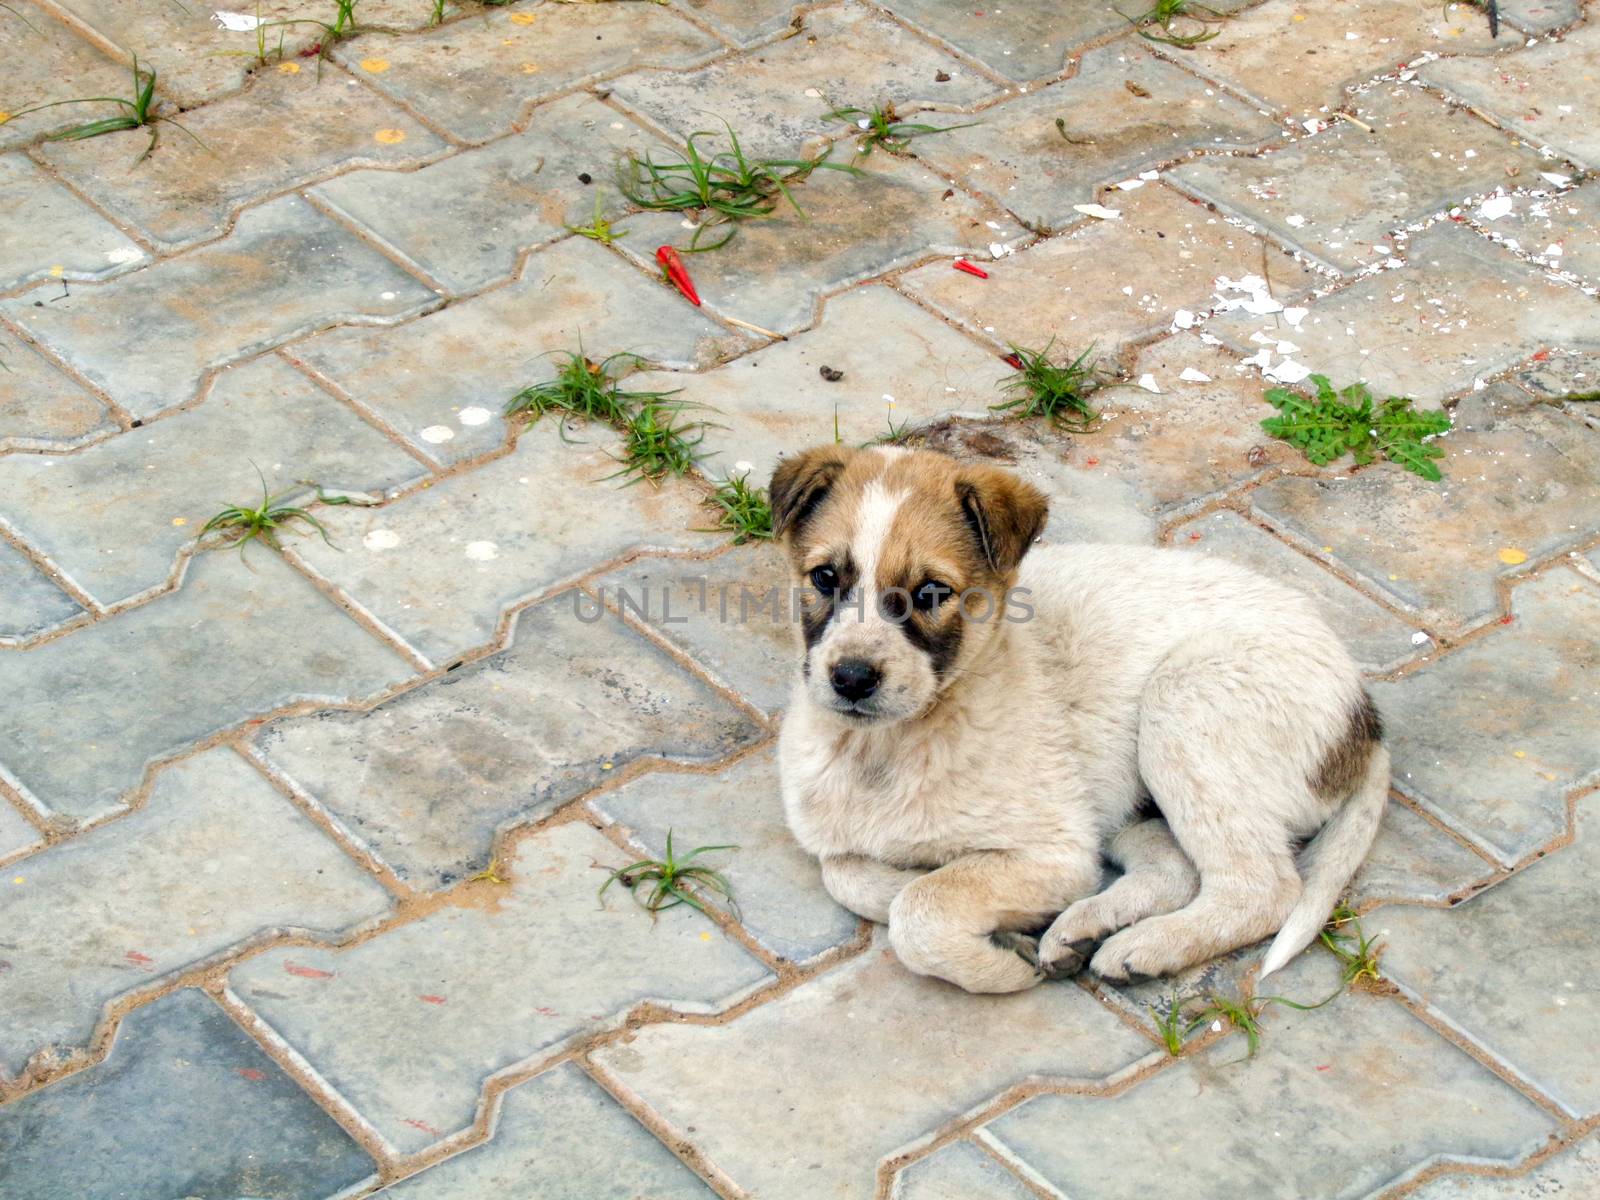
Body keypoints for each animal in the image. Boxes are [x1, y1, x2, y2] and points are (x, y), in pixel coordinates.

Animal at [771, 444, 1388, 998]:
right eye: (824, 578)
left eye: (930, 593)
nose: (851, 678)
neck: (887, 748)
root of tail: (1364, 709)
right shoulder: (840, 839)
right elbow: (849, 874)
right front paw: (1008, 927)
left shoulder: (1058, 850)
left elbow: (921, 907)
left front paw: (999, 963)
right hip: (1132, 798)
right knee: (1176, 867)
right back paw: (1083, 928)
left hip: (1184, 704)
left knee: (1263, 888)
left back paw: (1146, 947)